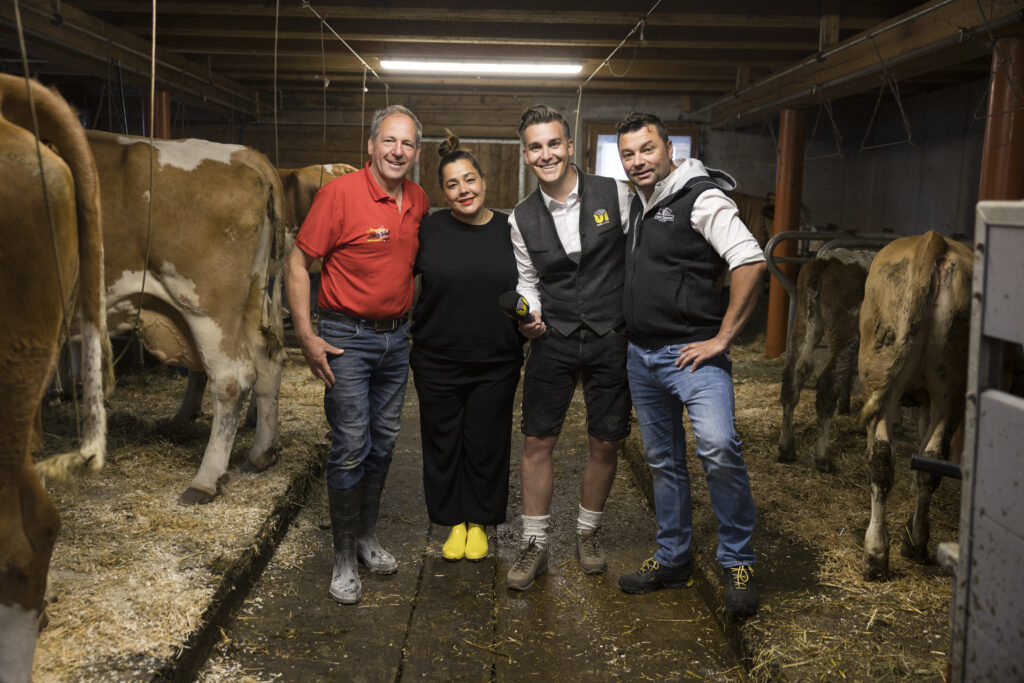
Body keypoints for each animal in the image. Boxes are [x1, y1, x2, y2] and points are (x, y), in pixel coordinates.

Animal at [774, 248, 872, 473]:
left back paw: (786, 449)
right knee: (828, 385)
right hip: (848, 334)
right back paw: (824, 458)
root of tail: (828, 259)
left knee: (792, 377)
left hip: (805, 322)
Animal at [856, 232, 966, 581]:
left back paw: (880, 553)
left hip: (888, 383)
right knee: (927, 460)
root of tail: (934, 242)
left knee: (883, 457)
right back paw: (908, 545)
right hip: (948, 390)